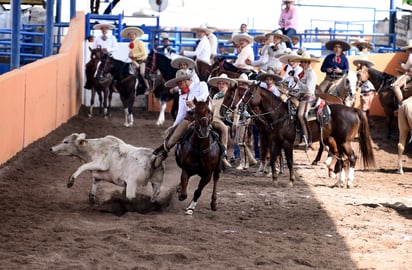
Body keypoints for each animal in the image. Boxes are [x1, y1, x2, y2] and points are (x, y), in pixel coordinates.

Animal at [224, 83, 374, 187]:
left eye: (249, 94)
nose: (235, 108)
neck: (280, 115)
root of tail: (353, 110)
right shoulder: (276, 141)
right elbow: (272, 158)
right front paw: (274, 179)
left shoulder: (287, 142)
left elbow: (289, 161)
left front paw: (291, 180)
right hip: (339, 140)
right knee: (343, 159)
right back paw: (338, 181)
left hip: (344, 141)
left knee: (351, 158)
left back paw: (348, 182)